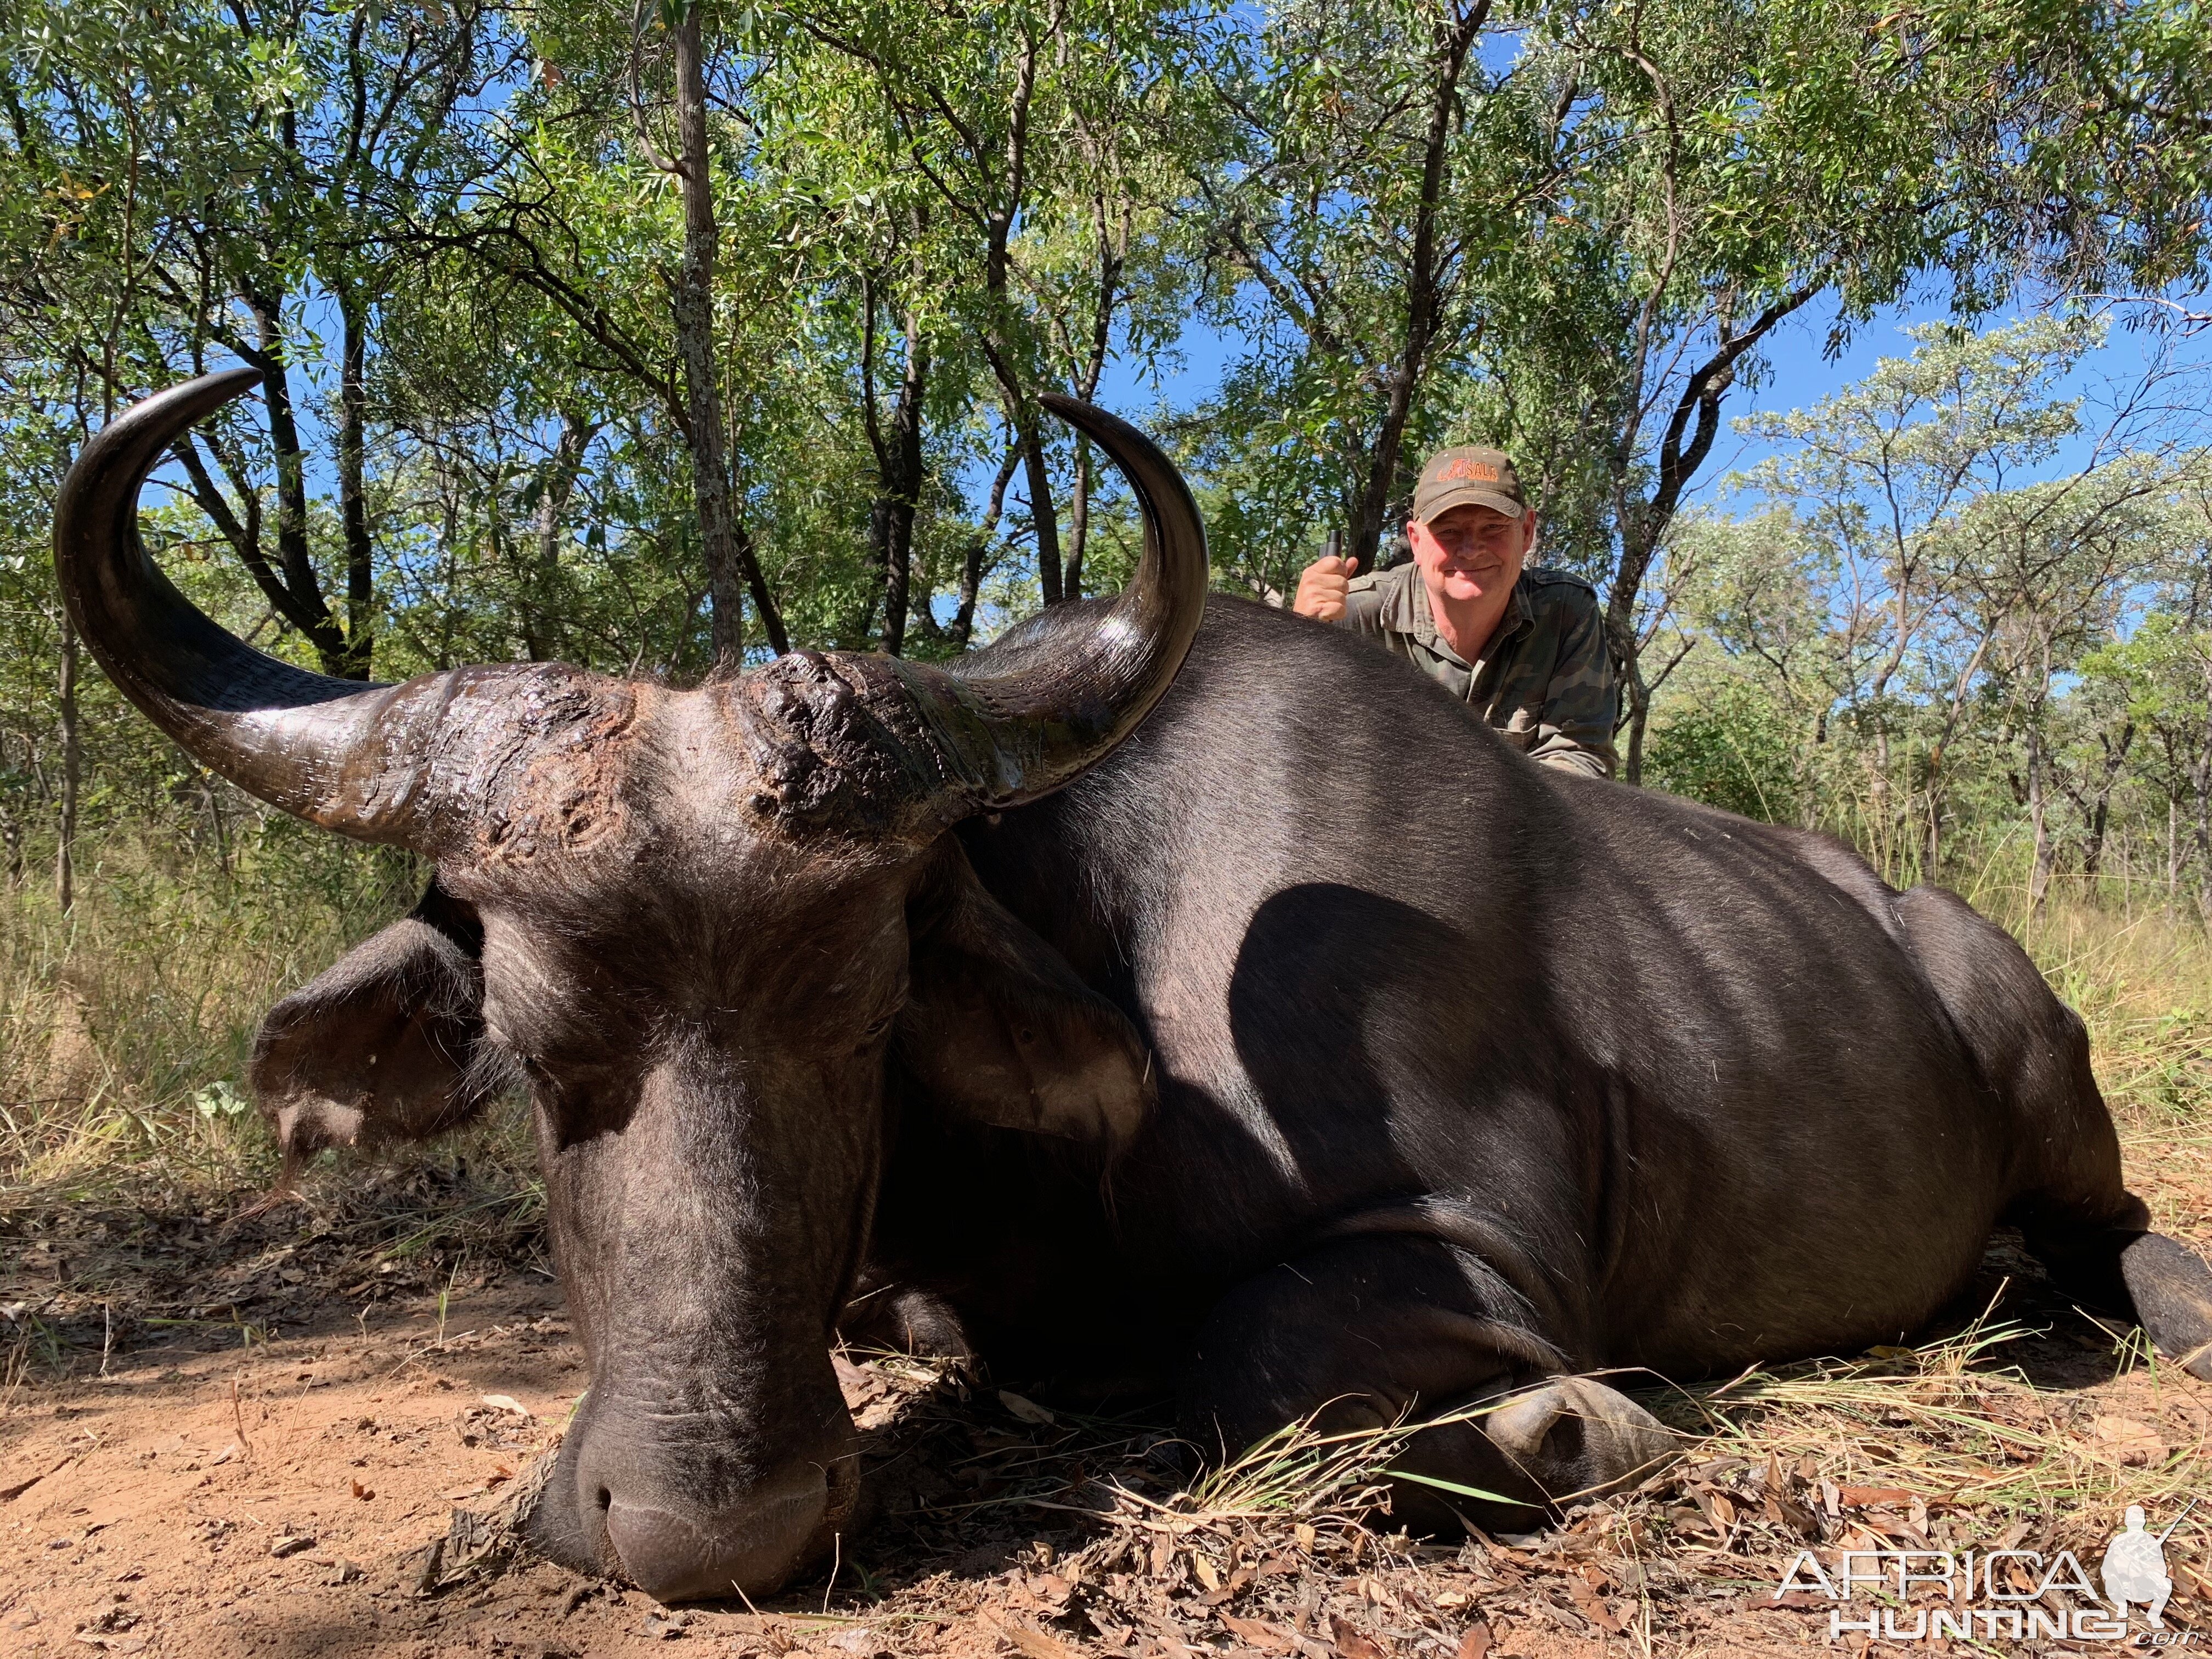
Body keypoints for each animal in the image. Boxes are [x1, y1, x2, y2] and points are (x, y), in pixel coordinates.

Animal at [60, 380, 2212, 1610]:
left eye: (869, 1018)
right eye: (520, 1045)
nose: (698, 1526)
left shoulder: (1476, 1250)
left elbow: (1250, 1367)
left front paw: (1561, 1435)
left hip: (2045, 1076)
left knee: (2116, 1229)